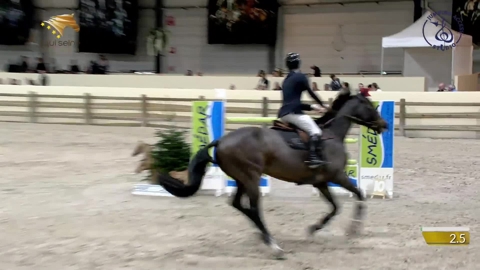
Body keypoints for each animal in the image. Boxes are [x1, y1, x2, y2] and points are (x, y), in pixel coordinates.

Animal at [158, 92, 390, 258]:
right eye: (370, 106)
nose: (384, 125)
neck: (331, 135)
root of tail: (221, 140)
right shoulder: (337, 176)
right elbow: (359, 195)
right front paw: (354, 228)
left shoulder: (321, 183)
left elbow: (335, 208)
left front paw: (313, 229)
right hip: (251, 178)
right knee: (254, 209)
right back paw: (274, 247)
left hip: (242, 179)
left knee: (238, 205)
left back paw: (262, 236)